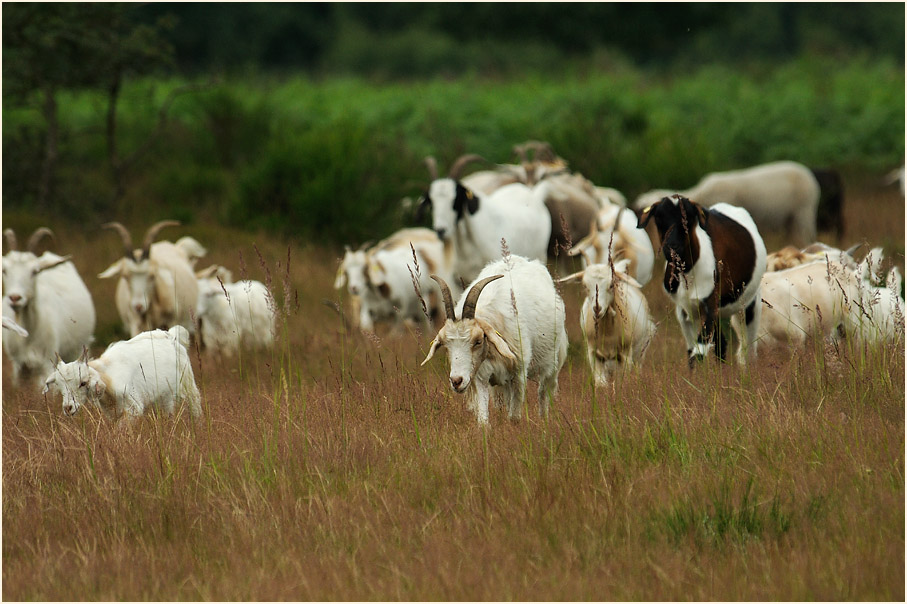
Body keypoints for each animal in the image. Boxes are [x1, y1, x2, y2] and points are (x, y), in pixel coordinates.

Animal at [2, 226, 96, 386]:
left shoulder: (47, 362)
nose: (15, 298)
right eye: (4, 270)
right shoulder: (18, 364)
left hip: (77, 349)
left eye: (34, 271)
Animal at [43, 326, 200, 420]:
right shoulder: (111, 413)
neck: (108, 374)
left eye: (83, 383)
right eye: (59, 385)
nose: (68, 408)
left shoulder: (133, 408)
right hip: (165, 397)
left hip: (187, 386)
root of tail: (172, 335)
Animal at [420, 255, 568, 424]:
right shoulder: (480, 376)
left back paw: (544, 420)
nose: (456, 381)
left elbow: (514, 417)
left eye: (478, 341)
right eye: (446, 344)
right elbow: (483, 419)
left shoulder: (518, 374)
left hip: (552, 362)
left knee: (544, 392)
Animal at [560, 258, 652, 390]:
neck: (608, 332)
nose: (597, 308)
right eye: (585, 286)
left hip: (641, 348)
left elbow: (622, 381)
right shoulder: (593, 353)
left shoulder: (625, 354)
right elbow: (601, 383)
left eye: (611, 285)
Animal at [640, 195, 768, 364]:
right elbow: (692, 352)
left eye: (689, 218)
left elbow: (699, 350)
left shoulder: (711, 304)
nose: (673, 247)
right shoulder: (684, 310)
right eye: (659, 218)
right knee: (722, 344)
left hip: (750, 303)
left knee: (748, 350)